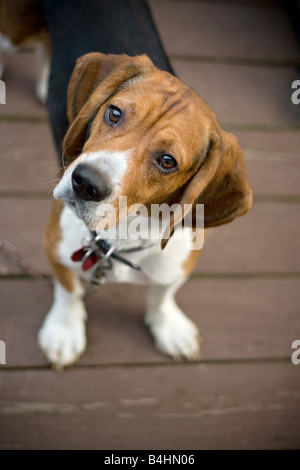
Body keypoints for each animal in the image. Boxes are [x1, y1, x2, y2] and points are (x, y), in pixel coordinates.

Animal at [38, 52, 253, 368]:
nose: (85, 182)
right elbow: (69, 290)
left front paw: (169, 327)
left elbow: (163, 295)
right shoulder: (56, 246)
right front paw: (64, 330)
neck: (124, 234)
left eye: (167, 161)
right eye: (114, 113)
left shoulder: (179, 263)